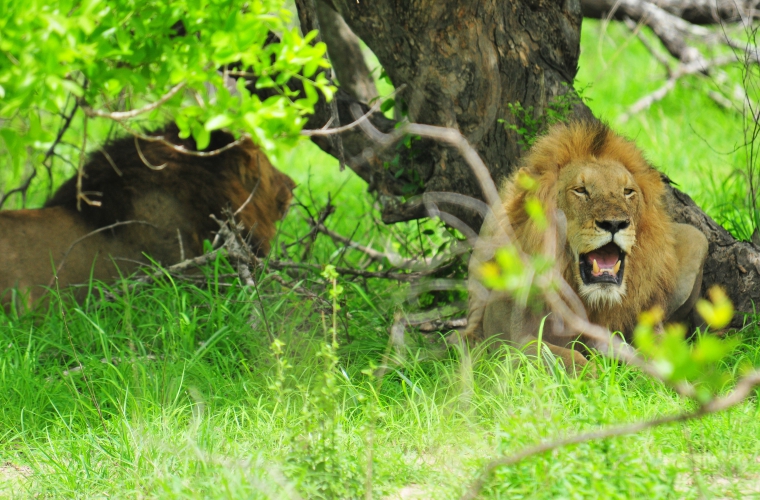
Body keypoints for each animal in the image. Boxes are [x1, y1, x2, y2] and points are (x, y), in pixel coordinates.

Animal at [466, 119, 708, 366]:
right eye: (580, 190)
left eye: (628, 192)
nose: (614, 223)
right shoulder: (514, 341)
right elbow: (568, 358)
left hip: (697, 237)